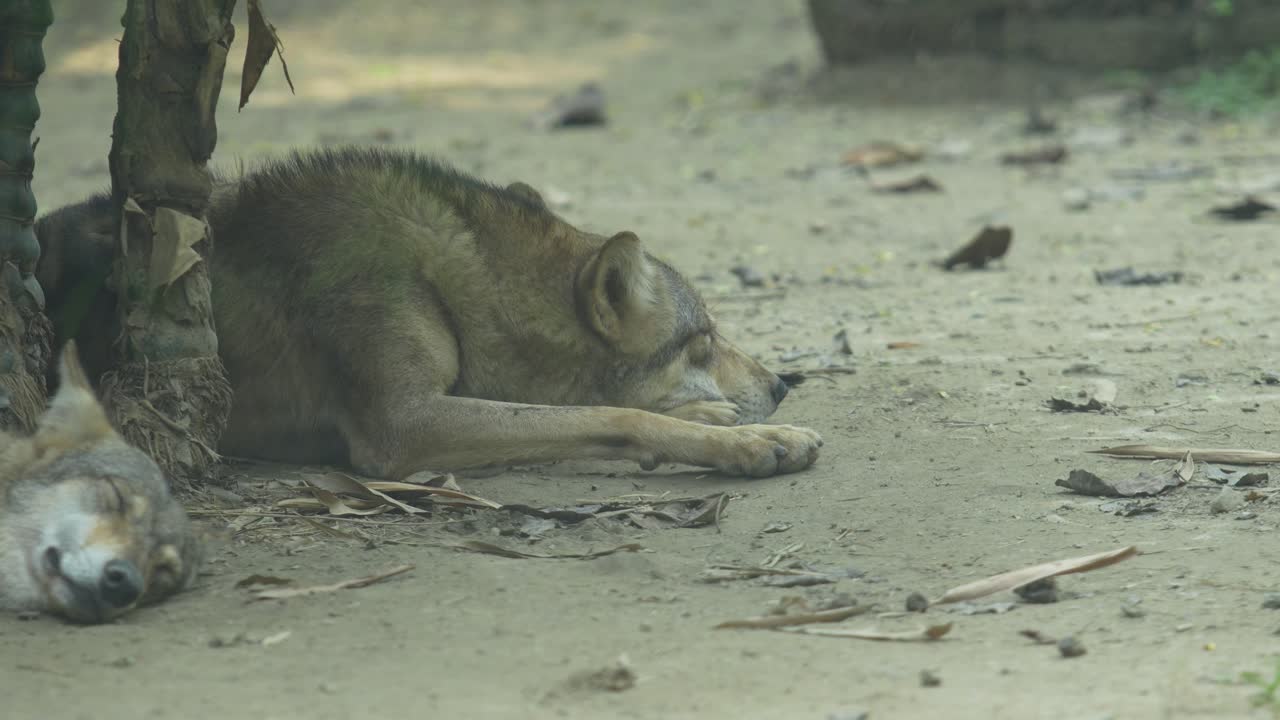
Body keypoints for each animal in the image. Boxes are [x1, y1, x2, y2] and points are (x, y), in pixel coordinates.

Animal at [36, 148, 822, 480]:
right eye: (703, 340)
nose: (784, 382)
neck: (449, 282)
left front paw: (725, 418)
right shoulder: (402, 426)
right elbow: (613, 415)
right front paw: (752, 441)